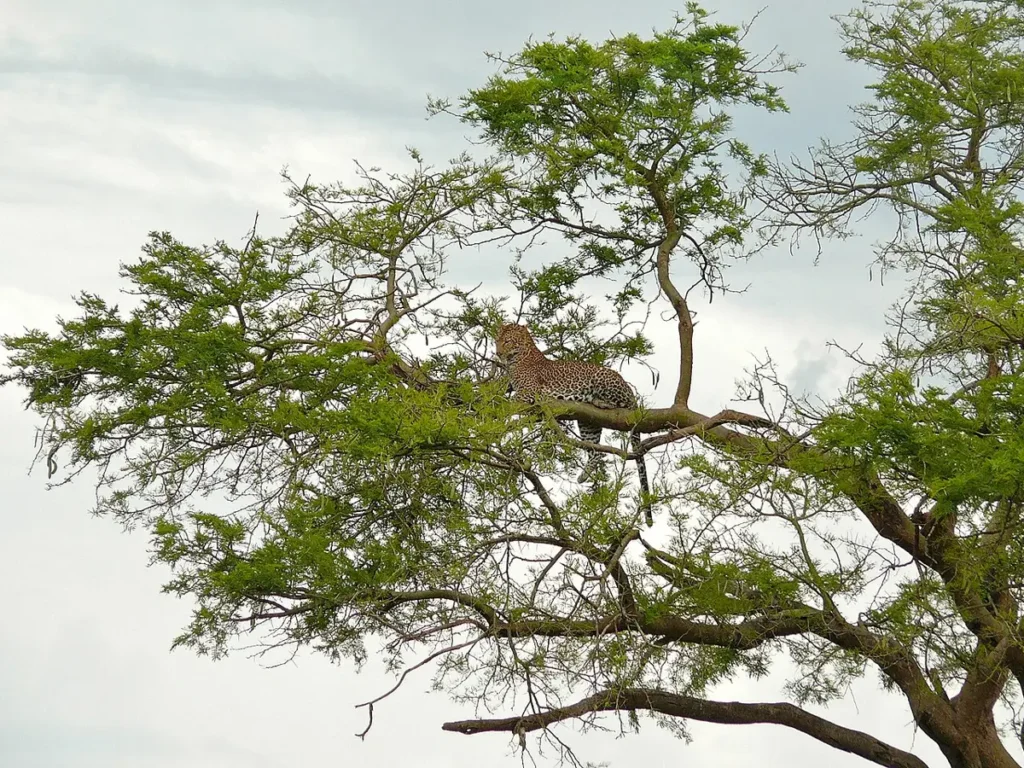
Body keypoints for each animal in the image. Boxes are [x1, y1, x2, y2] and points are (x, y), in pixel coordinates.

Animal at [495, 323, 653, 526]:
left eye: (507, 341)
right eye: (496, 341)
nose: (497, 353)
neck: (519, 356)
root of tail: (630, 390)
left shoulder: (529, 391)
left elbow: (507, 402)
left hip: (603, 379)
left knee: (620, 404)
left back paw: (601, 401)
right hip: (588, 422)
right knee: (595, 453)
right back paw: (583, 475)